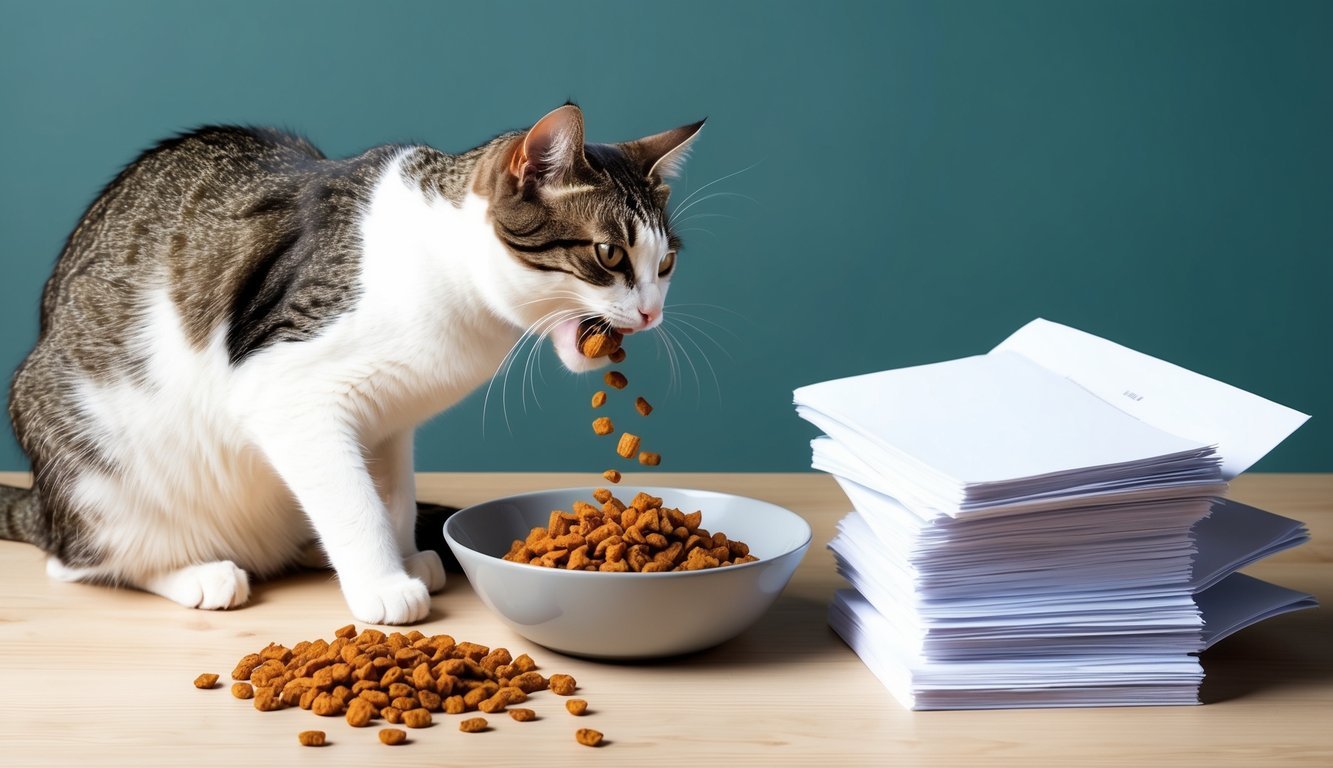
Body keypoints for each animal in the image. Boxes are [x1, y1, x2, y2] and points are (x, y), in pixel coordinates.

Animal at [0, 103, 703, 624]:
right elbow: (352, 500)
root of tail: (41, 504)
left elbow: (389, 493)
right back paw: (200, 574)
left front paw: (404, 555)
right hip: (93, 467)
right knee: (80, 561)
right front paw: (382, 584)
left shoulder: (391, 420)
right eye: (609, 254)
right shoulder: (288, 392)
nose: (651, 313)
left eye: (666, 263)